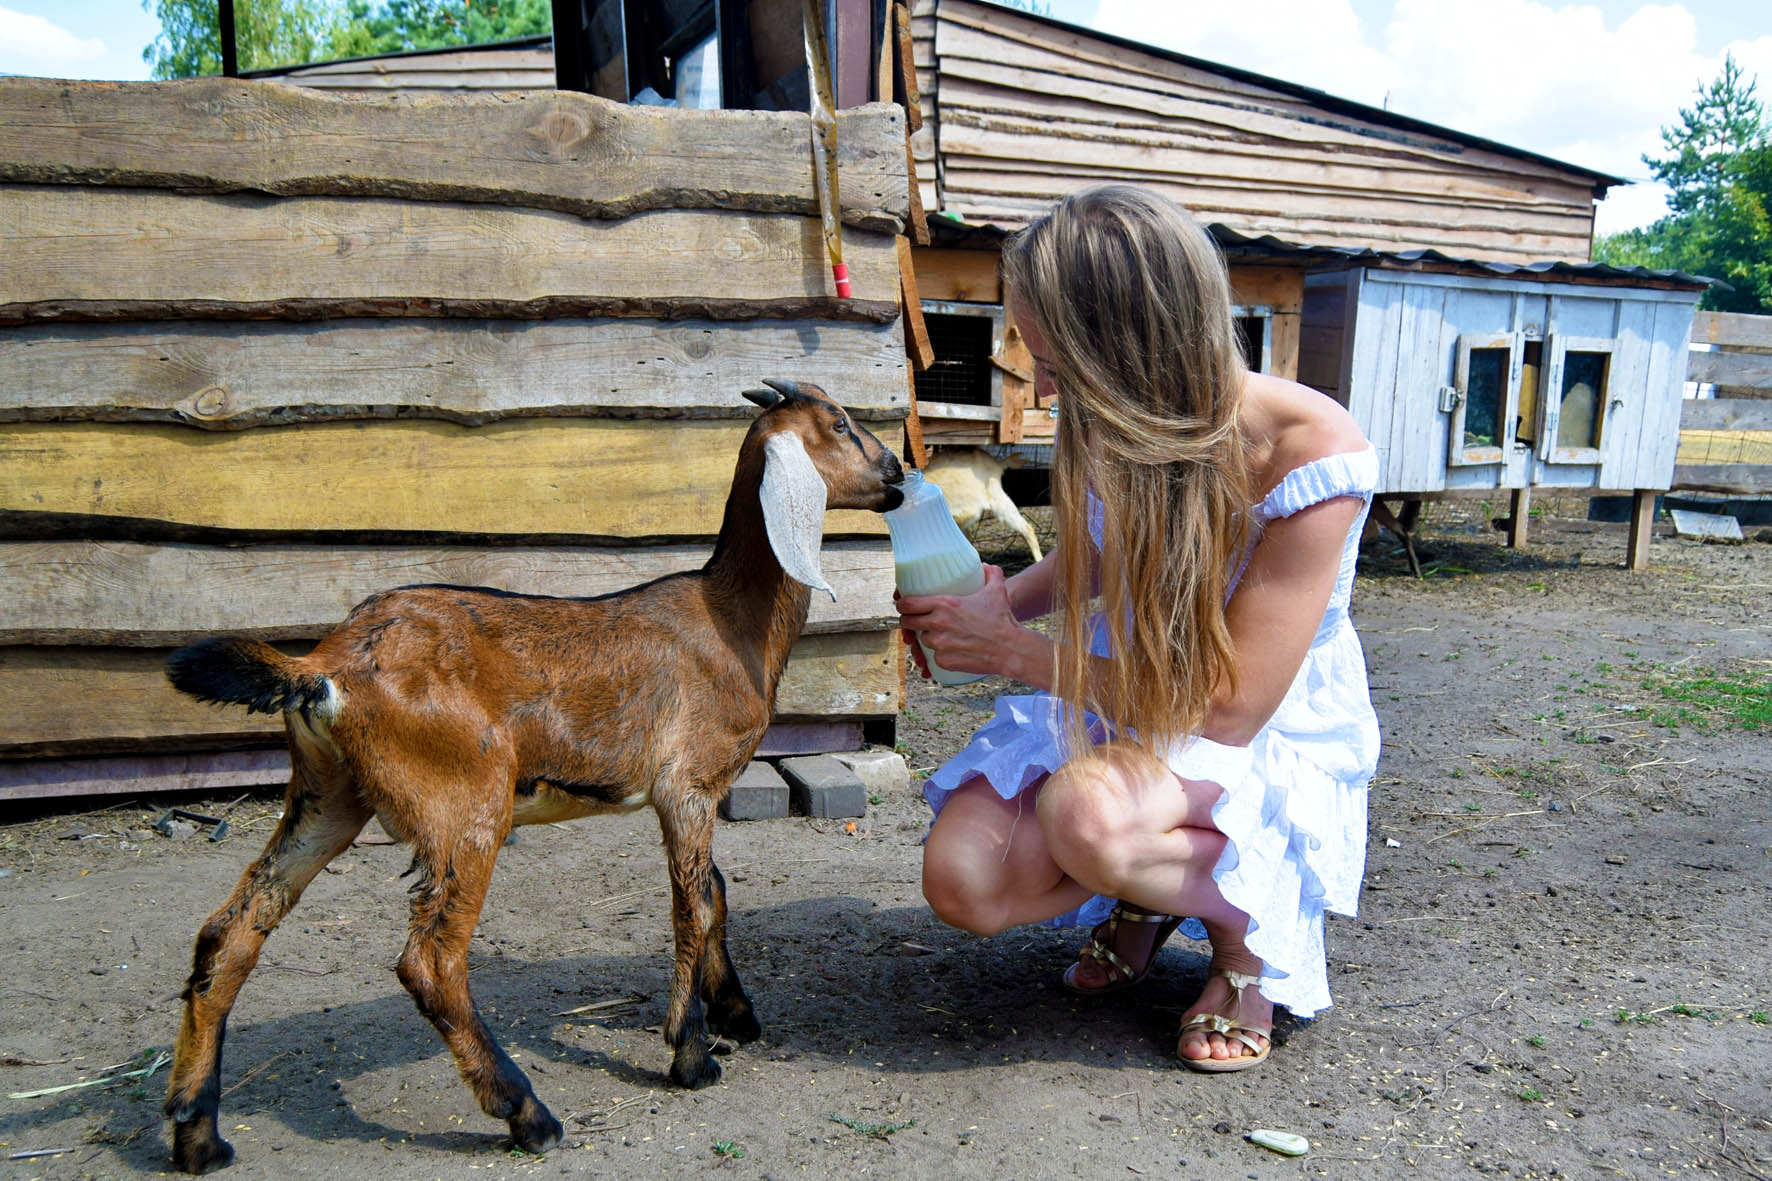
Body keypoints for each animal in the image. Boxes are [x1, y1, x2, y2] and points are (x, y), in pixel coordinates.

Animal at [161, 379, 907, 1170]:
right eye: (840, 425)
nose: (897, 472)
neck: (727, 618)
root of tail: (325, 666)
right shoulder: (688, 787)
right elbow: (694, 908)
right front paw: (691, 1054)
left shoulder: (694, 794)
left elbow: (715, 892)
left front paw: (735, 1011)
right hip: (466, 805)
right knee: (430, 963)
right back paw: (526, 1111)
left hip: (327, 795)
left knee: (230, 932)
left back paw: (197, 1131)